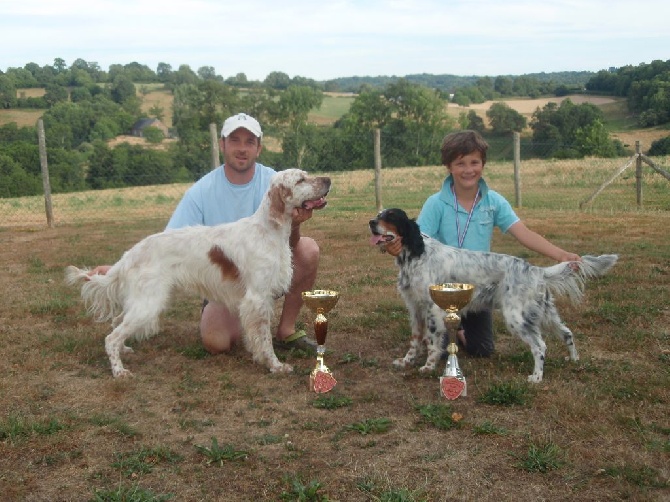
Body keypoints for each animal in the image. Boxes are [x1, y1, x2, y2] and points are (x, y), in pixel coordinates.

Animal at [65, 169, 330, 376]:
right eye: (300, 180)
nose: (328, 179)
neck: (269, 231)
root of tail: (130, 254)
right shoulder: (257, 298)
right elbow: (264, 339)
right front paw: (275, 365)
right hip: (148, 304)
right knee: (111, 338)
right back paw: (119, 371)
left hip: (142, 302)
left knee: (117, 324)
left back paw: (126, 350)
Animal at [370, 210, 624, 382]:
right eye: (379, 214)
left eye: (391, 216)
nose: (371, 222)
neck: (416, 254)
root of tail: (535, 270)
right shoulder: (415, 309)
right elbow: (415, 340)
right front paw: (406, 361)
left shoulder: (433, 310)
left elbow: (432, 342)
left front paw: (429, 366)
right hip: (545, 313)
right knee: (567, 333)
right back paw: (574, 360)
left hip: (516, 317)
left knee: (540, 346)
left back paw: (536, 377)